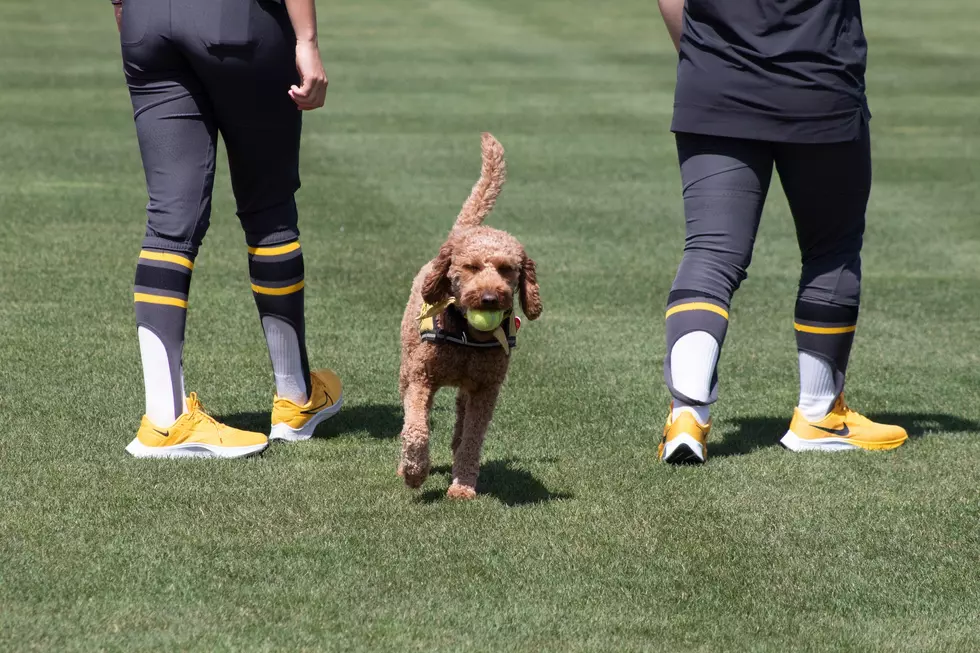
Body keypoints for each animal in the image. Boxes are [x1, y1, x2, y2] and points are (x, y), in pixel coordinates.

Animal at [396, 132, 540, 500]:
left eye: (507, 269)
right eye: (471, 267)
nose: (489, 297)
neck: (465, 335)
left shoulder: (486, 389)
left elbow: (473, 439)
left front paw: (462, 485)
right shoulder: (421, 378)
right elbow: (416, 428)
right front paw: (414, 472)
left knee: (462, 421)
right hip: (407, 365)